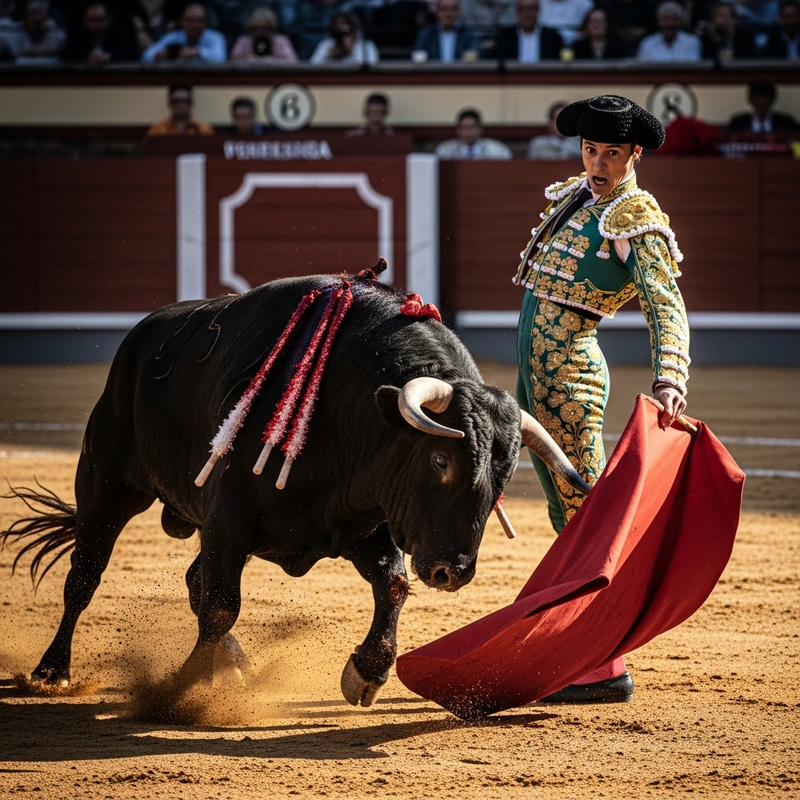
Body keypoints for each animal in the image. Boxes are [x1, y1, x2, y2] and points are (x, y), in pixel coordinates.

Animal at [1, 270, 589, 708]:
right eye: (441, 458)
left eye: (505, 476)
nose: (454, 572)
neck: (353, 407)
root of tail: (141, 338)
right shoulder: (228, 520)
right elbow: (221, 604)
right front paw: (178, 691)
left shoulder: (362, 521)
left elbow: (394, 585)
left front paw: (366, 673)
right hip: (107, 480)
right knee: (85, 574)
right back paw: (52, 671)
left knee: (190, 579)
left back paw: (236, 665)